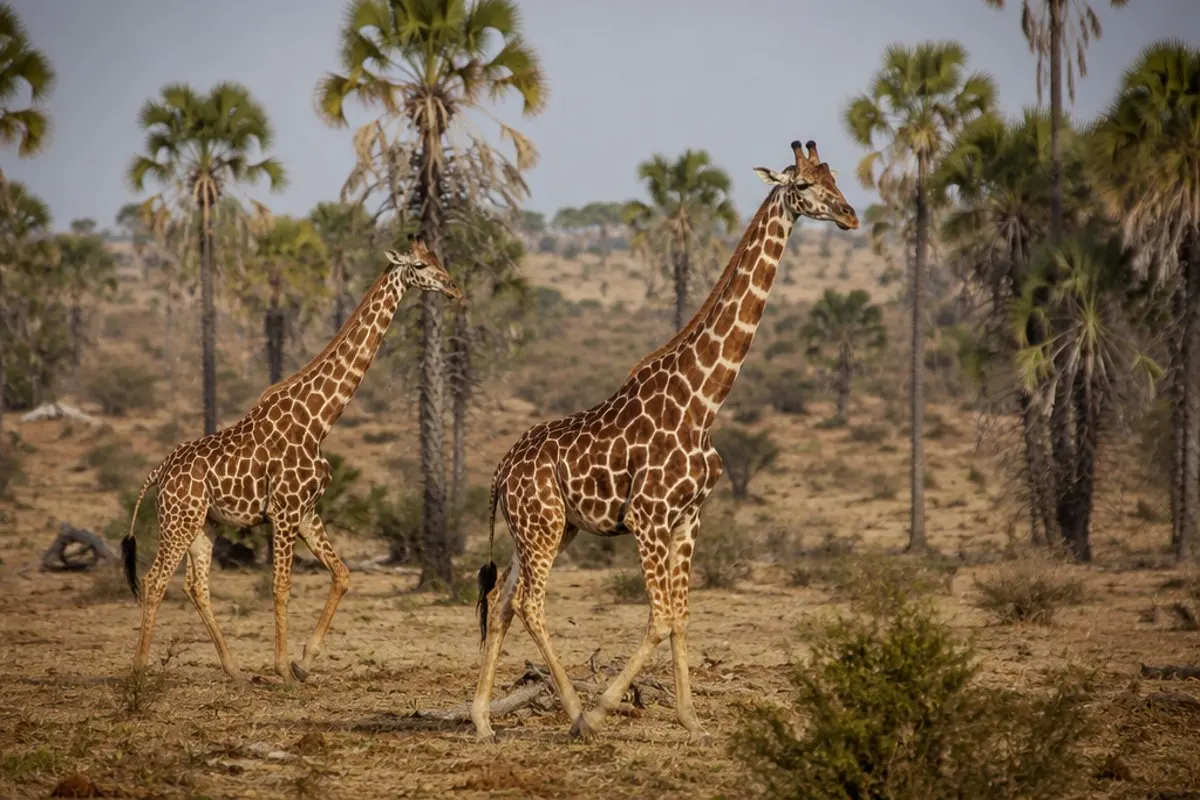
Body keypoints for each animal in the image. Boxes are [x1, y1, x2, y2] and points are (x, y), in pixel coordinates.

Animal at [121, 238, 461, 684]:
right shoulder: (283, 511)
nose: (454, 287)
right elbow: (281, 586)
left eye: (438, 258)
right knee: (154, 579)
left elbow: (343, 574)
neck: (319, 419)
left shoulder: (306, 511)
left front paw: (303, 661)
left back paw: (234, 669)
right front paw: (283, 667)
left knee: (195, 586)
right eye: (420, 265)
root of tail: (159, 472)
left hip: (204, 524)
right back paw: (139, 670)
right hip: (178, 521)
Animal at [470, 140, 858, 742]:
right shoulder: (647, 518)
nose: (849, 215)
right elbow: (659, 617)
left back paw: (483, 720)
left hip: (544, 529)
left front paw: (692, 720)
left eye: (834, 177)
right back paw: (576, 716)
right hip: (544, 527)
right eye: (803, 185)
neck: (704, 403)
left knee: (503, 599)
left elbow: (682, 616)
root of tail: (500, 470)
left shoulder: (688, 518)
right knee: (531, 603)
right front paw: (603, 710)